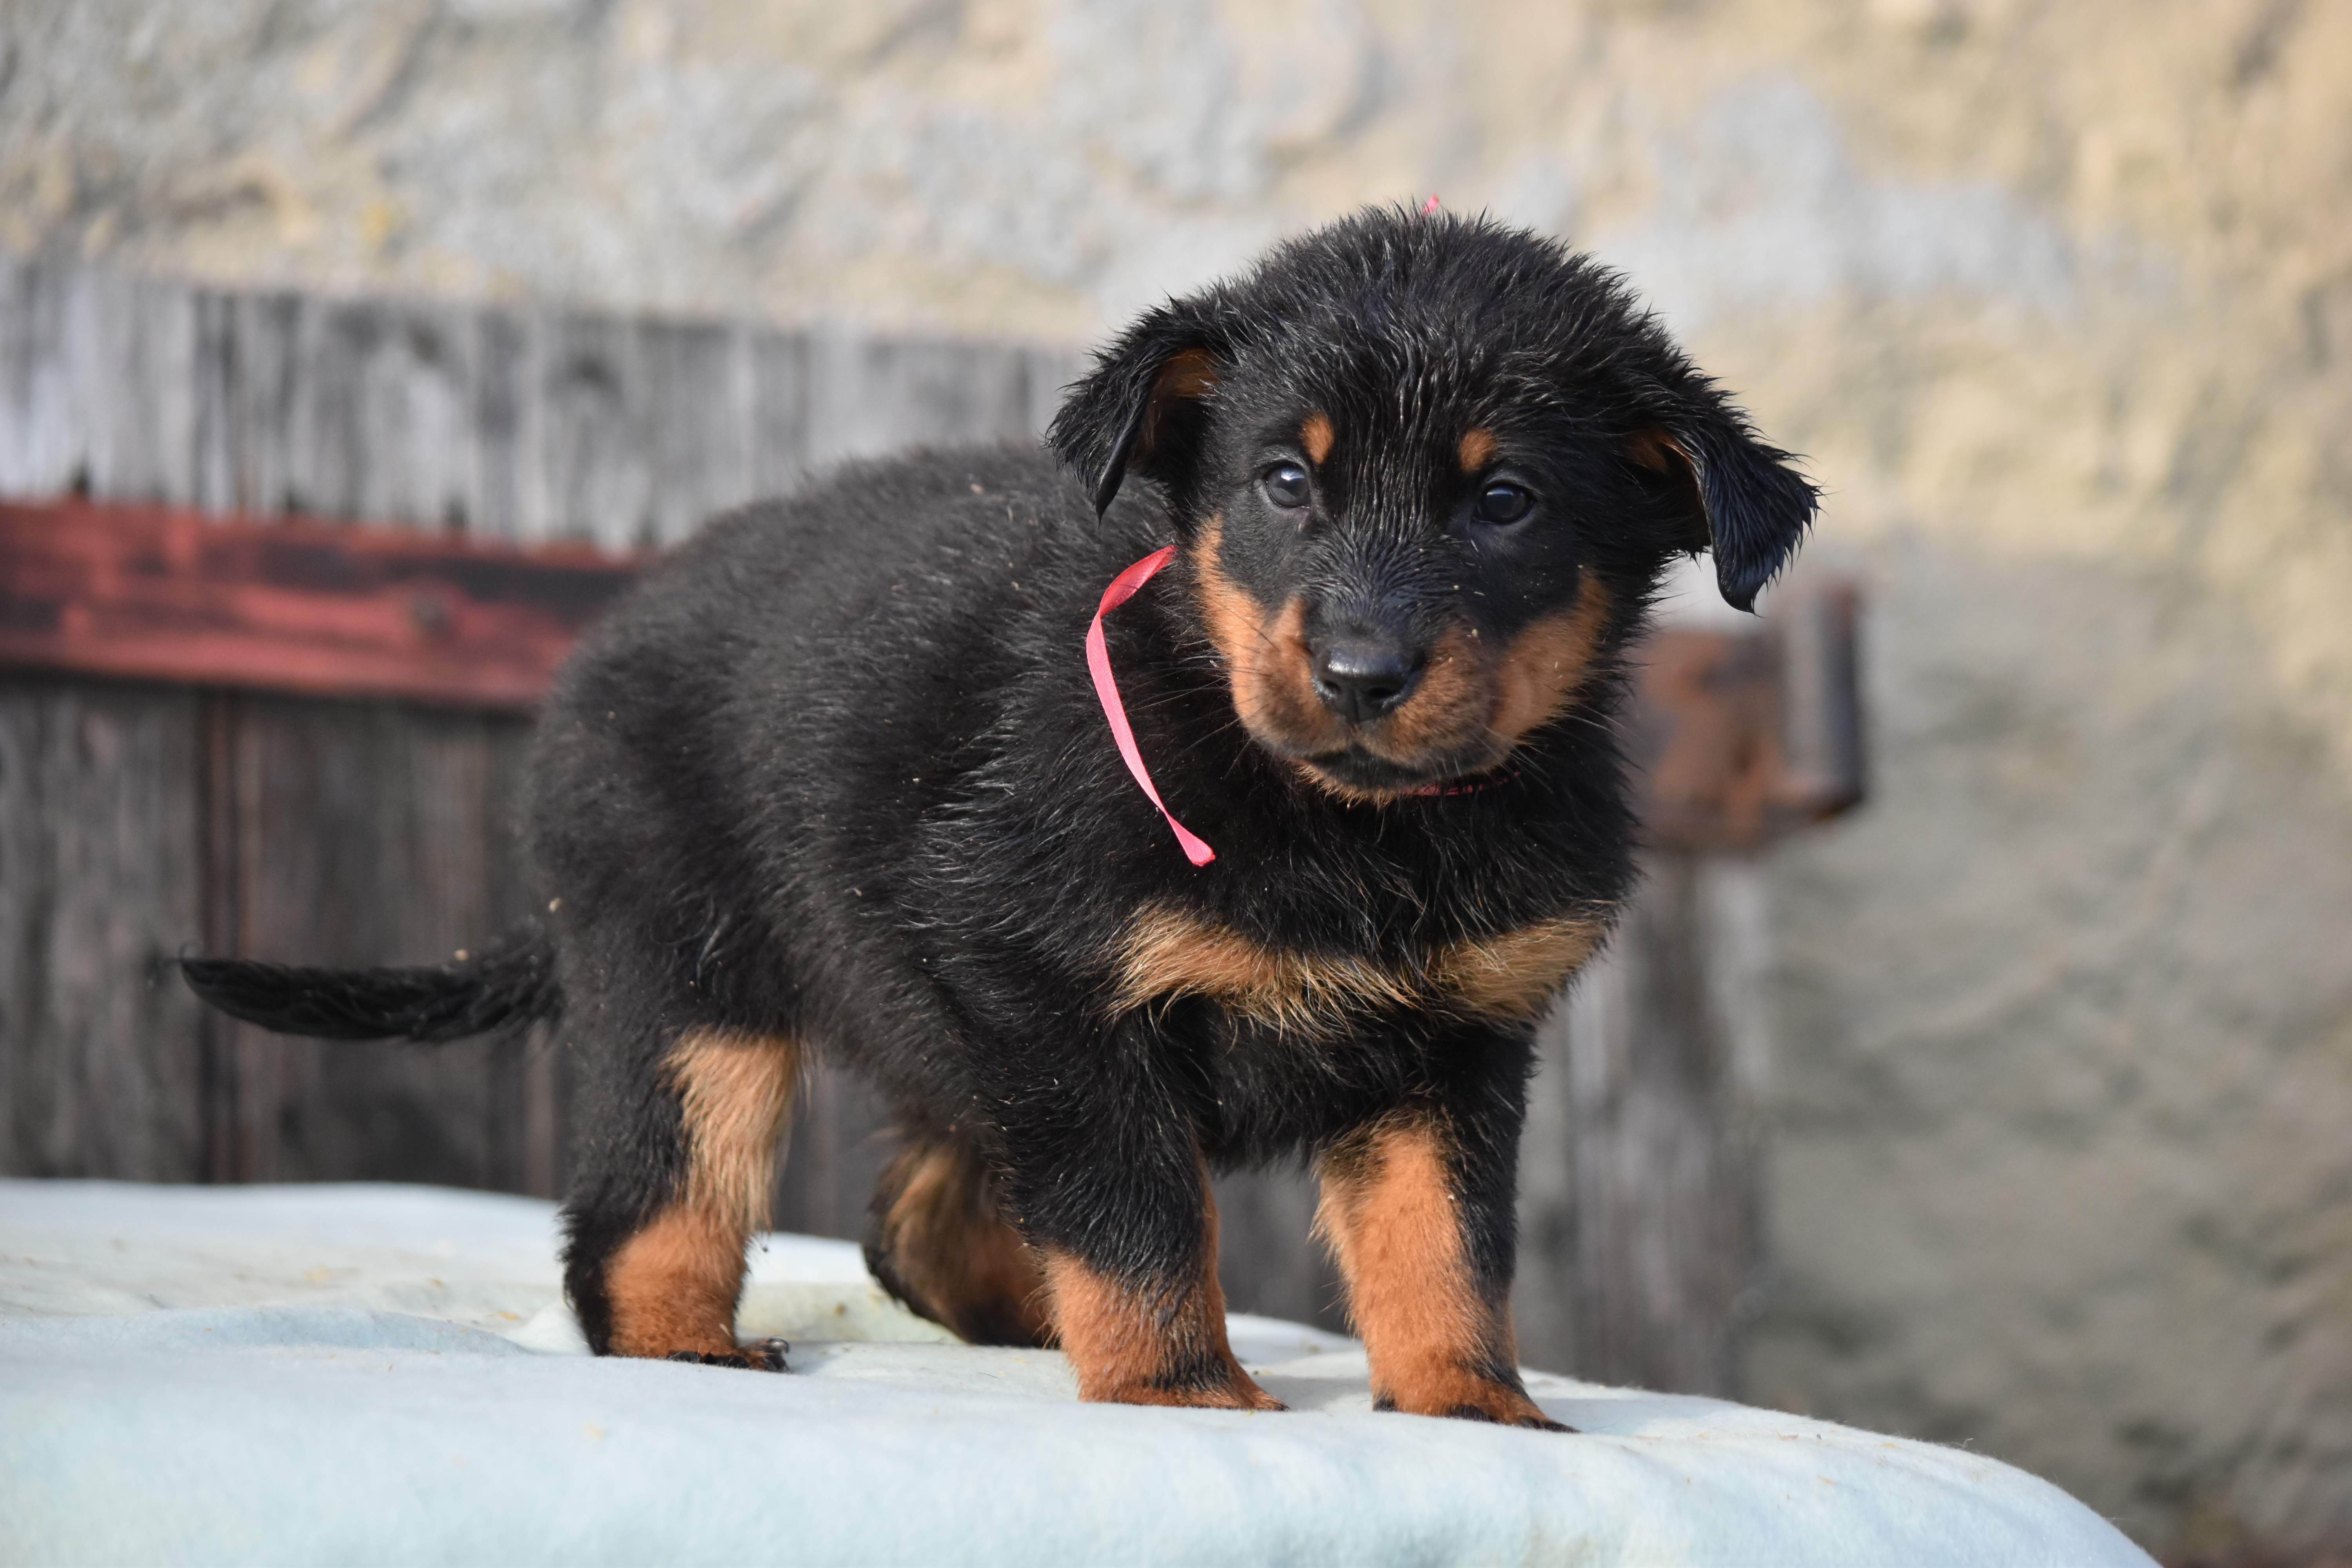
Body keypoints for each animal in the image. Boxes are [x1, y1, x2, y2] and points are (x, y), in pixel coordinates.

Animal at [185, 207, 1815, 1427]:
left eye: (1507, 503)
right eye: (1285, 482)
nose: (1360, 673)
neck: (1346, 817)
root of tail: (597, 648)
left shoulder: (1449, 1048)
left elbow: (1444, 1249)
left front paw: (1474, 1411)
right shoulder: (1050, 989)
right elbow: (1139, 1215)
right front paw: (1179, 1392)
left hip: (924, 1021)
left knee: (912, 1220)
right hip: (690, 988)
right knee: (650, 1215)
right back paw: (695, 1349)